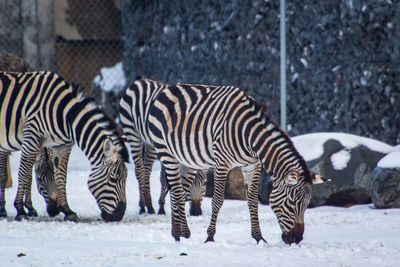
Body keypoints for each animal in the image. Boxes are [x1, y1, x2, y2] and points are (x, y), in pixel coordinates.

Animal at [0, 71, 128, 222]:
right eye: (113, 179)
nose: (119, 215)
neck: (65, 114)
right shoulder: (31, 138)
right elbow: (24, 175)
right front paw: (20, 210)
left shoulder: (62, 146)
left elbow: (61, 177)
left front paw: (67, 211)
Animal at [119, 78, 324, 246]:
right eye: (292, 202)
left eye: (307, 204)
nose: (296, 239)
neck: (249, 135)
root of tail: (167, 88)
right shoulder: (222, 163)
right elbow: (217, 200)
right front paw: (210, 236)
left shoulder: (252, 165)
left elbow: (252, 201)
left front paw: (258, 237)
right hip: (161, 150)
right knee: (174, 190)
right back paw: (177, 234)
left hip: (183, 159)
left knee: (179, 190)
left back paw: (182, 233)